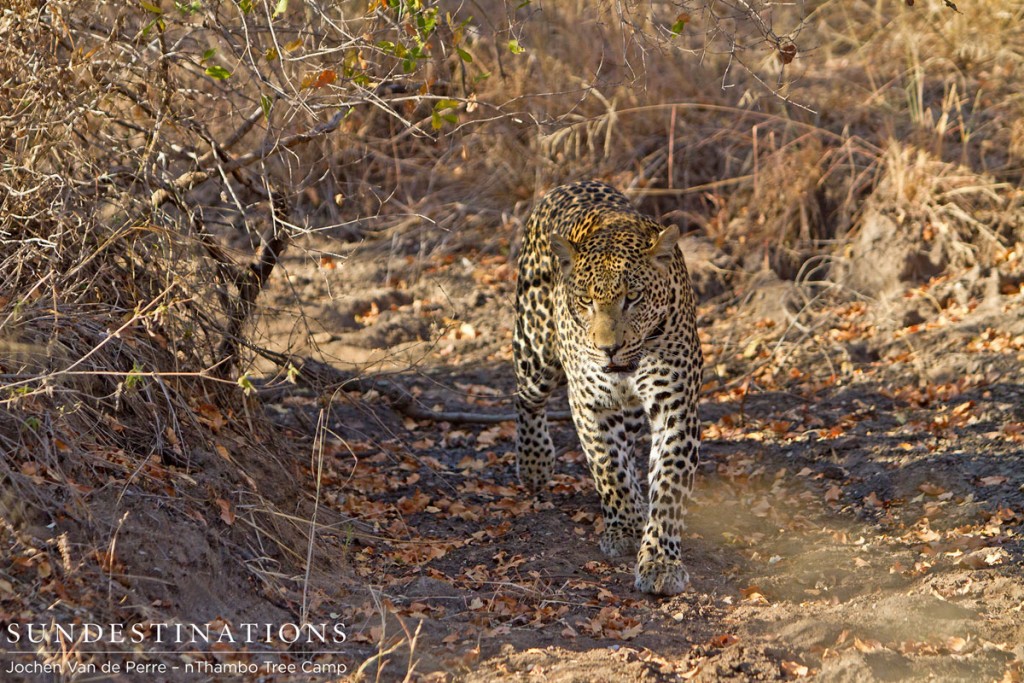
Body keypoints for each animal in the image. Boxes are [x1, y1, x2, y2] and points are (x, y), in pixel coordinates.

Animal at [512, 179, 704, 593]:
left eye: (633, 298)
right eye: (586, 301)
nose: (607, 348)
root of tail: (572, 182)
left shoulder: (675, 407)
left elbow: (668, 487)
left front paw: (660, 561)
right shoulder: (591, 403)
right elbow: (607, 467)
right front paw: (626, 527)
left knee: (629, 444)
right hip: (535, 351)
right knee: (524, 398)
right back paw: (534, 462)